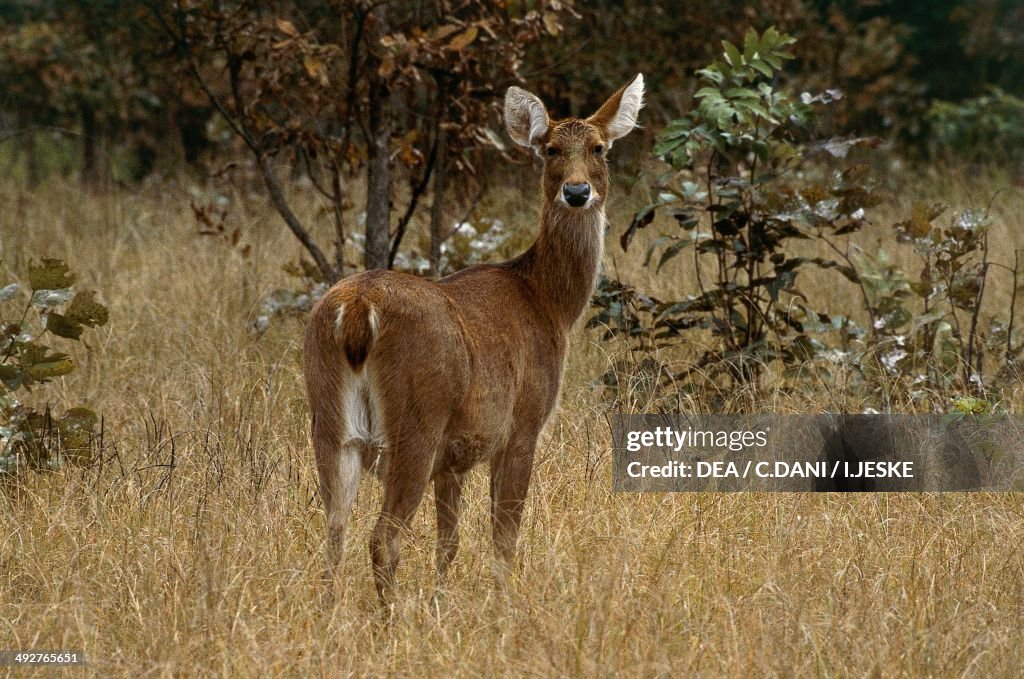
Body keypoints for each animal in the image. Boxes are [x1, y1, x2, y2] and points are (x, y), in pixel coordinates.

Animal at [303, 74, 645, 610]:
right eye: (549, 149)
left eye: (598, 147)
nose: (576, 191)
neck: (547, 301)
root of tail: (356, 310)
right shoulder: (522, 425)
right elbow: (504, 536)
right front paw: (503, 605)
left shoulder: (455, 456)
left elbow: (450, 541)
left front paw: (443, 602)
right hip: (415, 422)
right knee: (382, 538)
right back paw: (388, 619)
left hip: (330, 422)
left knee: (333, 533)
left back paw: (328, 615)